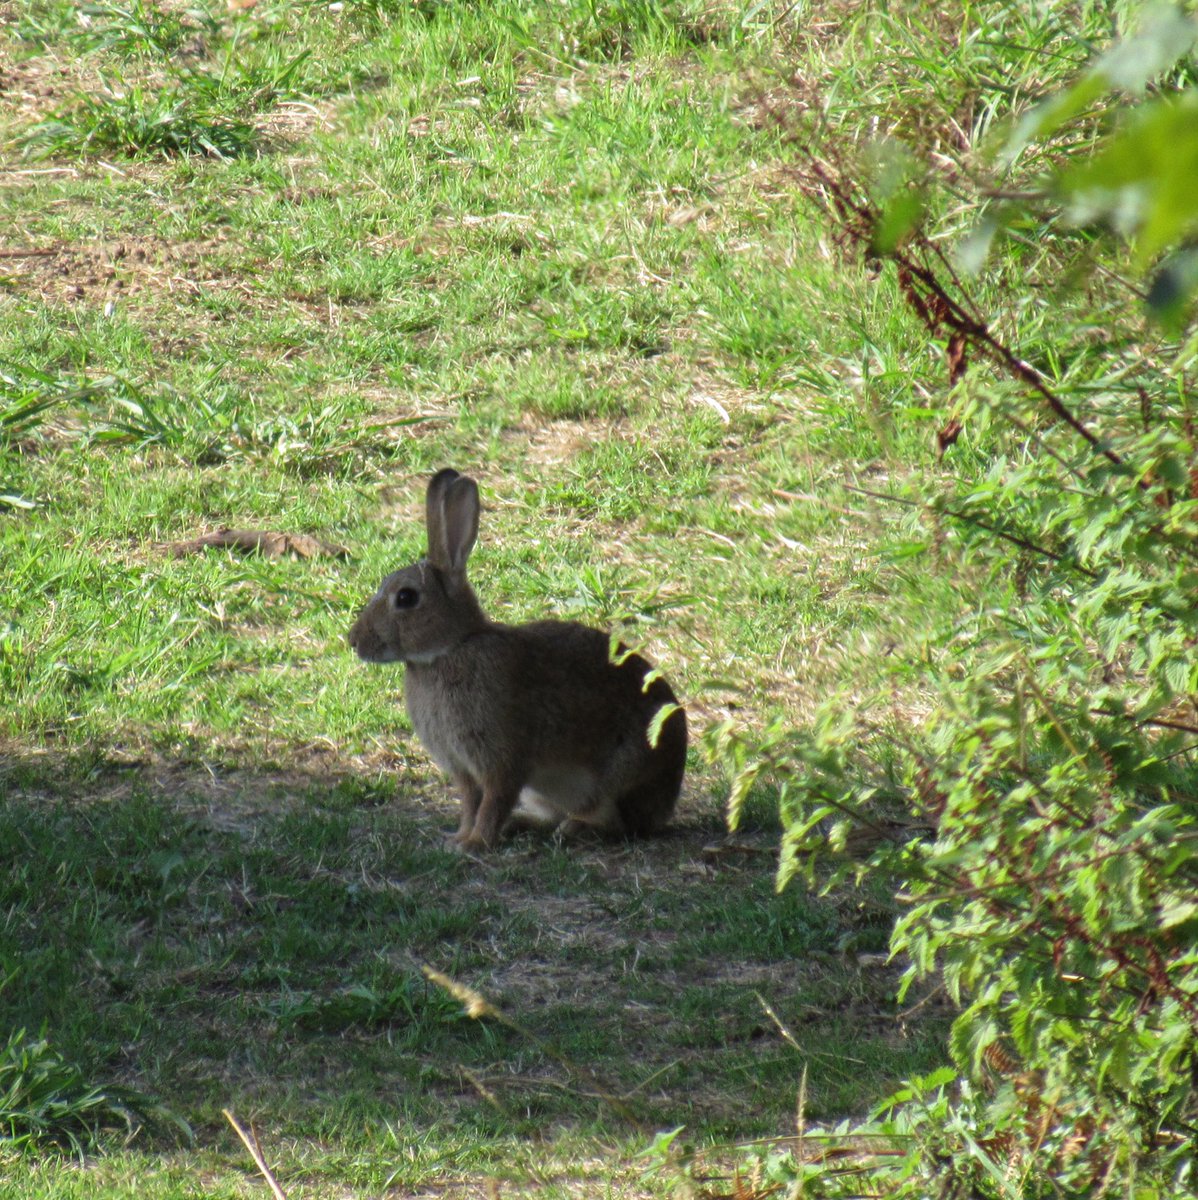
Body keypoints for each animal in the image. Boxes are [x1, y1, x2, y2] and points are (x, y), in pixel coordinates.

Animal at [348, 468, 687, 851]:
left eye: (406, 598)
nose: (354, 641)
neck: (452, 647)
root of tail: (666, 801)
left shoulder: (502, 758)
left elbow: (493, 802)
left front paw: (475, 844)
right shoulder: (464, 769)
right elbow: (471, 803)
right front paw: (459, 837)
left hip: (616, 777)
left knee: (617, 824)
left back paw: (575, 829)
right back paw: (522, 824)